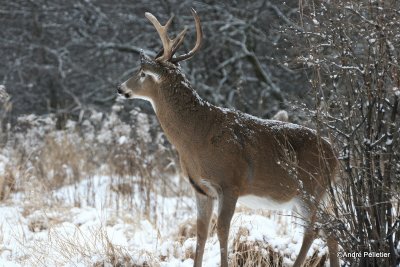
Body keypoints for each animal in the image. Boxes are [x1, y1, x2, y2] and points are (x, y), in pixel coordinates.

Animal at [117, 8, 340, 267]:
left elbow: (222, 230)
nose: (120, 88)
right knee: (331, 227)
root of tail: (335, 155)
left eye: (142, 73)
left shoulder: (230, 182)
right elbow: (201, 232)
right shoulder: (200, 188)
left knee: (313, 230)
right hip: (317, 193)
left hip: (310, 188)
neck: (196, 136)